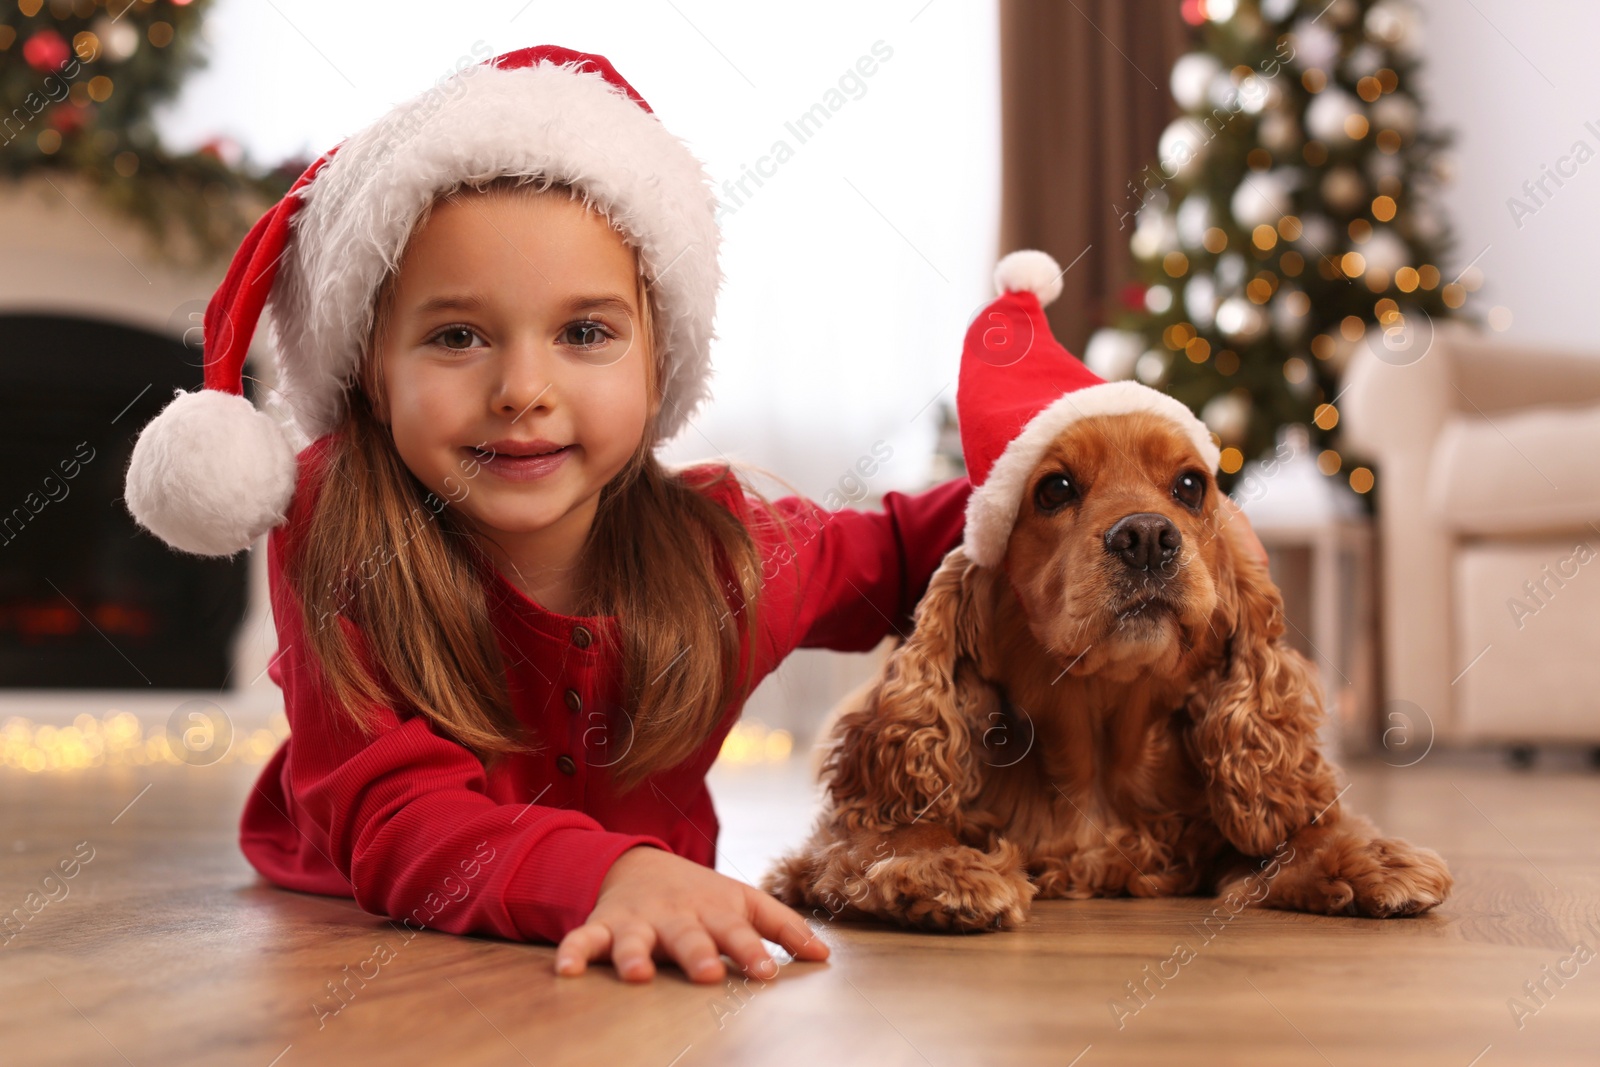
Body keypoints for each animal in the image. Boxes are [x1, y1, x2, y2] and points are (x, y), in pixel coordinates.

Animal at [761, 412, 1452, 927]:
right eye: (1055, 489)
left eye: (1192, 485)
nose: (1147, 537)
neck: (1099, 741)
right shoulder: (825, 845)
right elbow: (886, 832)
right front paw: (940, 868)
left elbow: (1298, 827)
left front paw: (1367, 857)